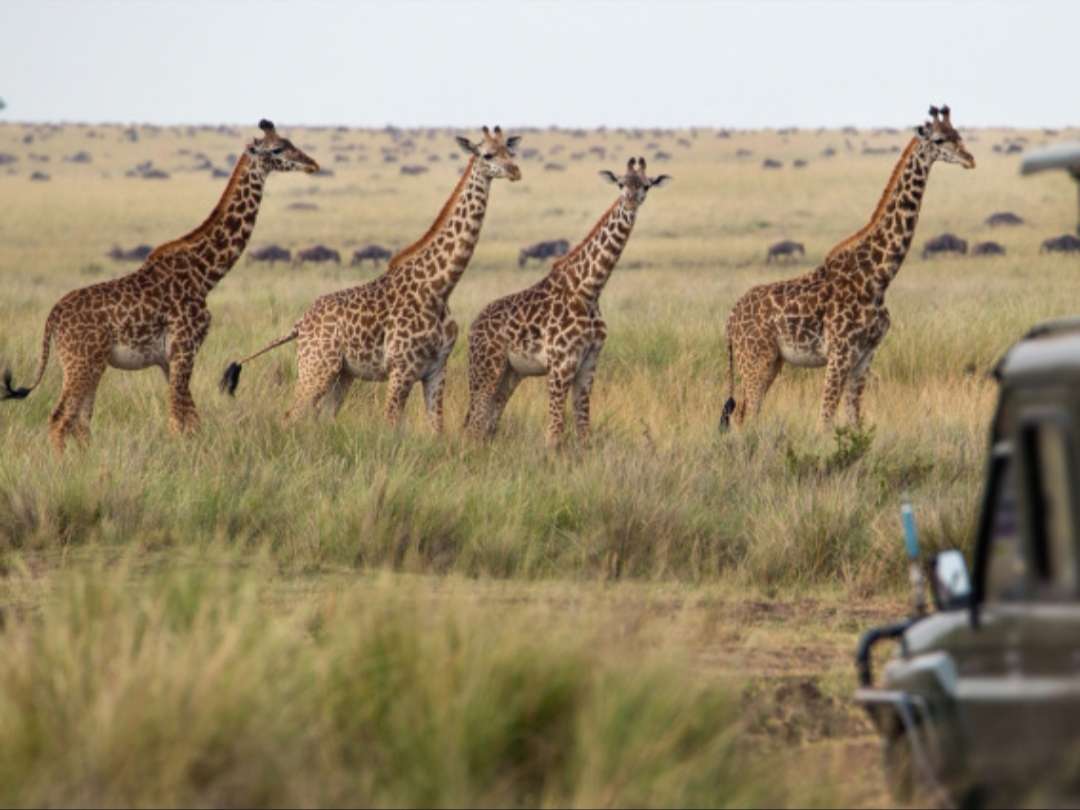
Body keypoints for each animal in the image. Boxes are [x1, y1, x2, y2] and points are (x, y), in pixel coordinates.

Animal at [2, 120, 317, 453]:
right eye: (277, 149)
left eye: (289, 142)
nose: (313, 164)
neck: (205, 275)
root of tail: (52, 319)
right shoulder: (184, 349)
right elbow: (179, 420)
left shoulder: (170, 359)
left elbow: (190, 419)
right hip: (81, 362)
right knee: (61, 418)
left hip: (90, 363)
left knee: (80, 421)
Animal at [217, 125, 520, 432]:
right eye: (487, 154)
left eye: (510, 151)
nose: (515, 171)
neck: (439, 286)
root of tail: (300, 324)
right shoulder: (401, 368)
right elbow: (391, 425)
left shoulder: (436, 369)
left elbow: (437, 428)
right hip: (316, 367)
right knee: (292, 415)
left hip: (342, 373)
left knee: (323, 416)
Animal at [468, 156, 669, 451]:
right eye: (621, 184)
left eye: (646, 185)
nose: (631, 201)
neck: (588, 290)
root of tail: (473, 327)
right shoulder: (561, 365)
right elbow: (554, 434)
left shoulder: (588, 364)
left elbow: (583, 430)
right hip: (486, 367)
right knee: (473, 422)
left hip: (510, 372)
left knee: (488, 422)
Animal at [721, 106, 976, 432]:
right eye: (940, 139)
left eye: (959, 134)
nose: (970, 159)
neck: (878, 277)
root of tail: (730, 319)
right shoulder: (840, 353)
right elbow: (825, 420)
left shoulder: (865, 355)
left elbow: (854, 420)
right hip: (756, 358)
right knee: (745, 415)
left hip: (770, 361)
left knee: (745, 414)